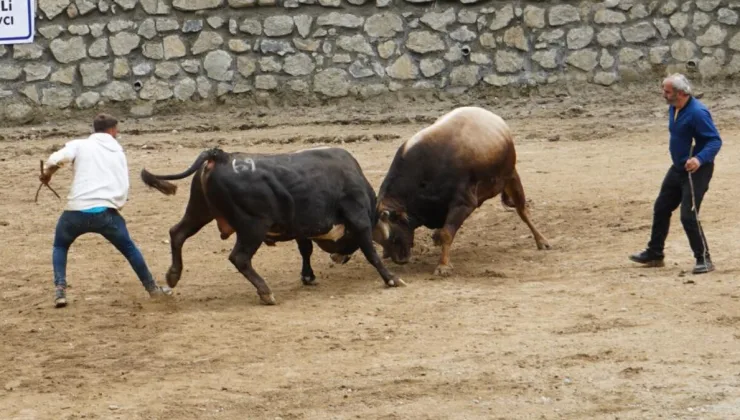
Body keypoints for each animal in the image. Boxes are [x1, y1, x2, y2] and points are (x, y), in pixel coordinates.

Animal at [139, 146, 404, 304]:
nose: (338, 258)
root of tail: (220, 156)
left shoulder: (302, 228)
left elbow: (305, 250)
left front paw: (308, 276)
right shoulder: (358, 219)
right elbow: (370, 251)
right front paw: (391, 279)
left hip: (198, 211)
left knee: (177, 233)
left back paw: (173, 275)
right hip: (252, 227)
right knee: (240, 258)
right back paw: (265, 291)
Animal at [376, 106, 548, 276]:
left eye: (393, 235)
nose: (398, 259)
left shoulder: (463, 203)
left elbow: (446, 233)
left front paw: (443, 266)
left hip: (511, 176)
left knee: (522, 211)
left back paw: (542, 241)